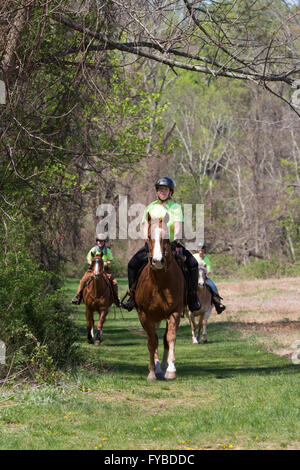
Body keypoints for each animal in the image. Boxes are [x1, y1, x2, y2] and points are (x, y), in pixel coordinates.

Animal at [134, 215, 185, 380]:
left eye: (166, 238)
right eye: (150, 236)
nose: (157, 261)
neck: (159, 283)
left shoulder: (175, 312)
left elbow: (170, 337)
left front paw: (171, 370)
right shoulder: (144, 314)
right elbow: (151, 342)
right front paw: (151, 372)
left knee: (163, 339)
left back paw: (163, 366)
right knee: (155, 339)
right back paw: (156, 367)